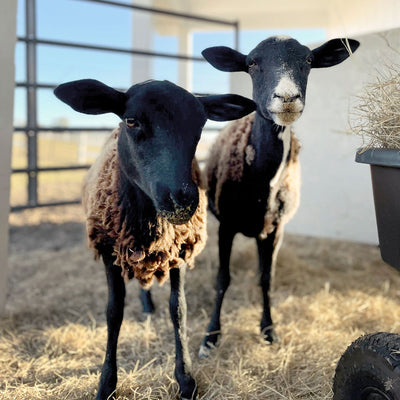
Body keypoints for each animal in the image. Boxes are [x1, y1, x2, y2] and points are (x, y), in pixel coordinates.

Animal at [54, 79, 256, 400]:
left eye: (200, 125)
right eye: (131, 120)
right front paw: (106, 384)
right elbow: (114, 312)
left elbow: (179, 308)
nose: (182, 200)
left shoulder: (180, 249)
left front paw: (186, 380)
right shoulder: (110, 252)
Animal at [199, 36, 360, 356]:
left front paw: (269, 330)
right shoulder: (226, 225)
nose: (287, 98)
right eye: (251, 62)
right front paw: (211, 336)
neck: (263, 181)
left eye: (308, 61)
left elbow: (266, 278)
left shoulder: (275, 229)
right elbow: (222, 279)